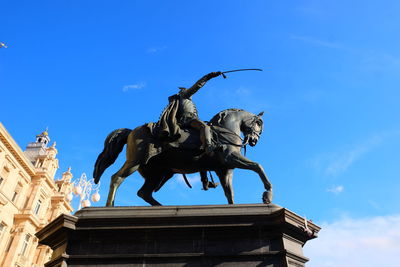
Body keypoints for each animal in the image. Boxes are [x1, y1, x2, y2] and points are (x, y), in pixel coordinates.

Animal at [94, 109, 274, 207]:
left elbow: (230, 193)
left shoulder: (225, 170)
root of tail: (132, 131)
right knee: (116, 178)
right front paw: (268, 193)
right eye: (259, 124)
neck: (225, 130)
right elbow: (258, 166)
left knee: (144, 193)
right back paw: (109, 206)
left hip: (157, 173)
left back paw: (161, 207)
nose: (254, 140)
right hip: (135, 162)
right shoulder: (230, 158)